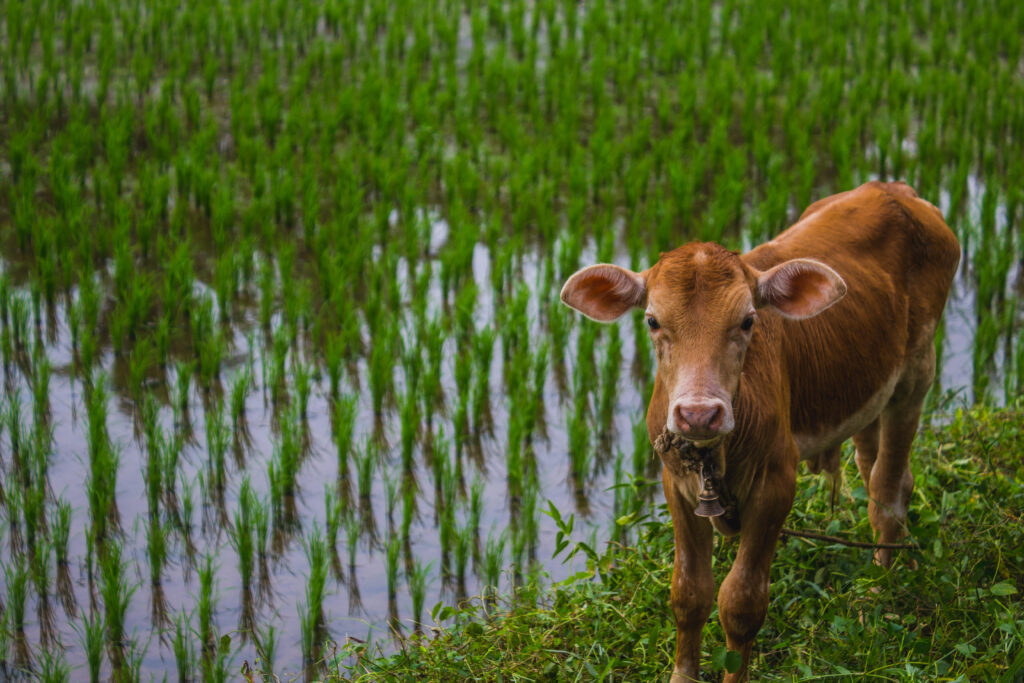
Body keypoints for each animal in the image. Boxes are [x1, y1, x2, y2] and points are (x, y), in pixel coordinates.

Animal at [561, 180, 958, 679]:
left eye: (748, 320)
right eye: (653, 321)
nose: (698, 414)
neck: (717, 454)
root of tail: (894, 189)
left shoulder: (776, 484)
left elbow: (741, 602)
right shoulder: (677, 484)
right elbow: (689, 593)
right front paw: (682, 673)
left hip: (916, 378)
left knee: (889, 487)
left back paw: (881, 582)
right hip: (869, 387)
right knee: (876, 471)